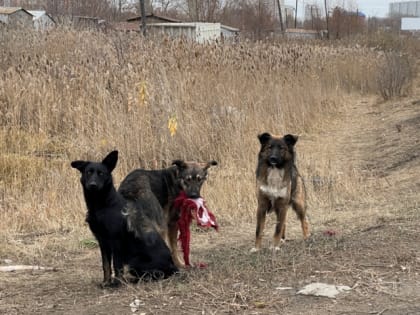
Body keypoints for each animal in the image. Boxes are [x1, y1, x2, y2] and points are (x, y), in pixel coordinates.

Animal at [71, 151, 176, 286]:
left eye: (101, 173)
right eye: (88, 172)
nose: (93, 185)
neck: (102, 206)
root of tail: (174, 266)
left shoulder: (116, 241)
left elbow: (117, 265)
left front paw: (117, 283)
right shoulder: (102, 242)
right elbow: (106, 265)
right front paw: (106, 282)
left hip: (134, 262)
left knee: (156, 274)